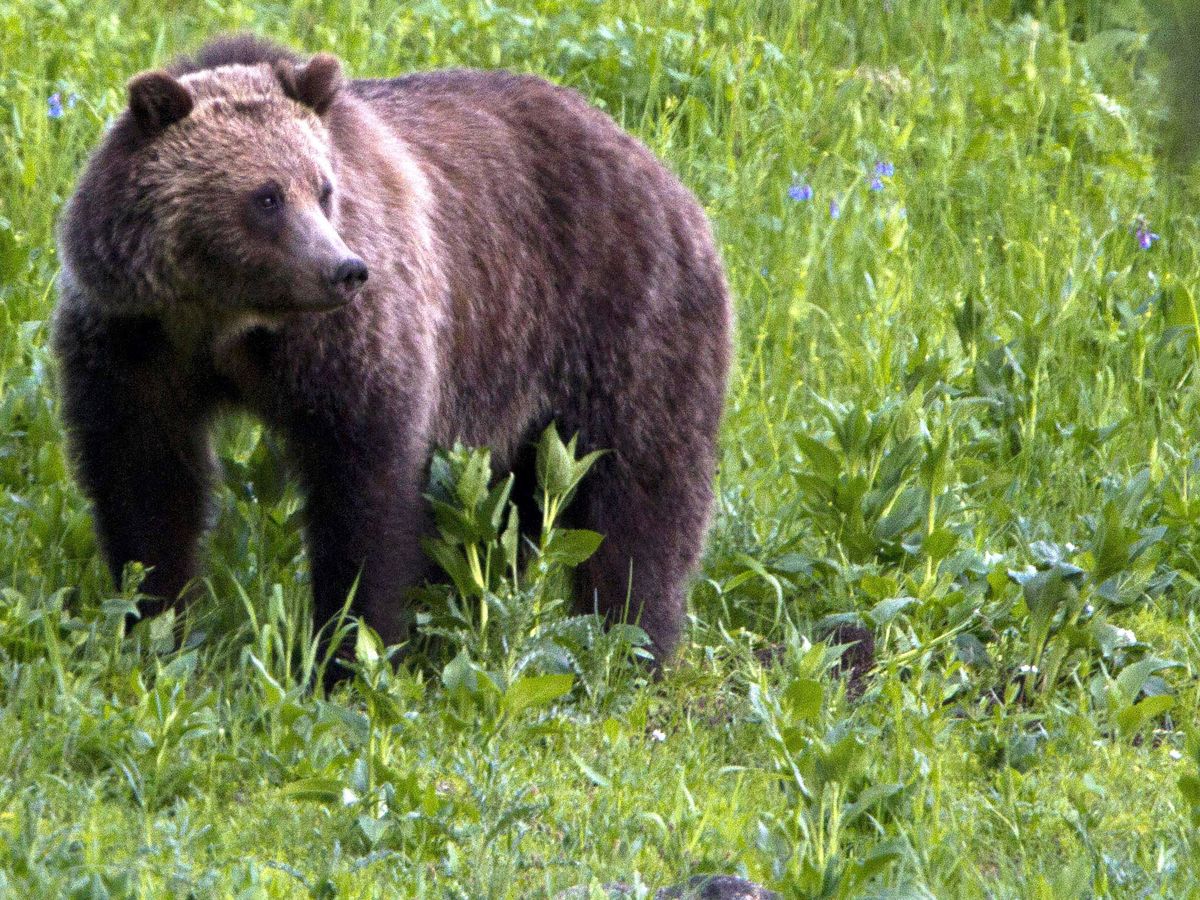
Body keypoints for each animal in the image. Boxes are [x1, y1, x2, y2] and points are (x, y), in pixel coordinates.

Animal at [54, 35, 729, 662]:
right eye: (267, 197)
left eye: (323, 189)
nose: (344, 270)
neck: (226, 320)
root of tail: (654, 162)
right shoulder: (135, 342)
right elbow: (145, 480)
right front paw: (153, 622)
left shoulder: (349, 347)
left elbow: (365, 494)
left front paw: (350, 648)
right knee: (507, 509)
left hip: (620, 320)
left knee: (641, 491)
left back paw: (632, 643)